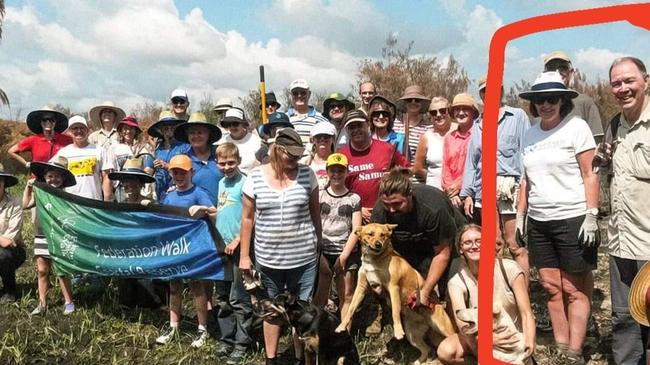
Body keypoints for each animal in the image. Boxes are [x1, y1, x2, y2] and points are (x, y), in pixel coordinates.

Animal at [336, 223, 454, 362]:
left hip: (442, 327)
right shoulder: (361, 288)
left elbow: (395, 312)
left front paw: (397, 331)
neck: (375, 260)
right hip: (412, 335)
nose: (378, 244)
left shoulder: (393, 287)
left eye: (383, 235)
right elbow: (350, 309)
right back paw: (418, 362)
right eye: (370, 234)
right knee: (427, 349)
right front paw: (341, 326)